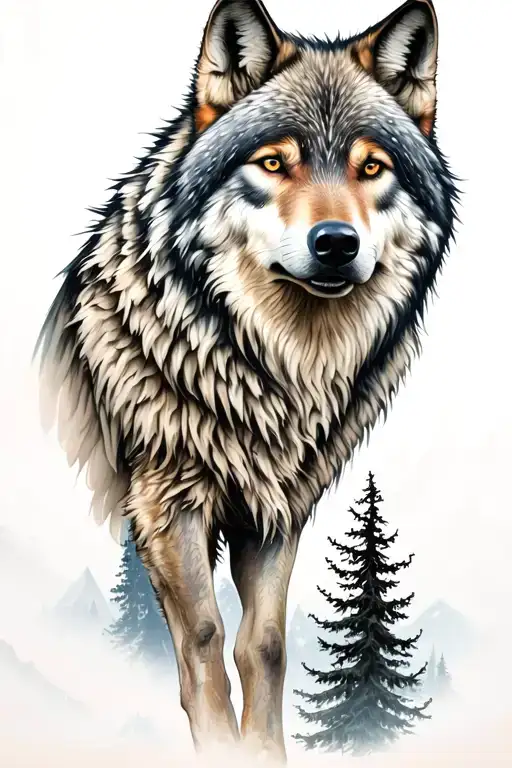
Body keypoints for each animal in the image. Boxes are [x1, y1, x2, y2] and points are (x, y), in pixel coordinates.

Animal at [36, 0, 457, 762]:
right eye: (273, 162)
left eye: (371, 166)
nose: (335, 243)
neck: (272, 371)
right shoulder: (167, 504)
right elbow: (204, 638)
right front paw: (219, 748)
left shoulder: (276, 513)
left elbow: (264, 646)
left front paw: (262, 752)